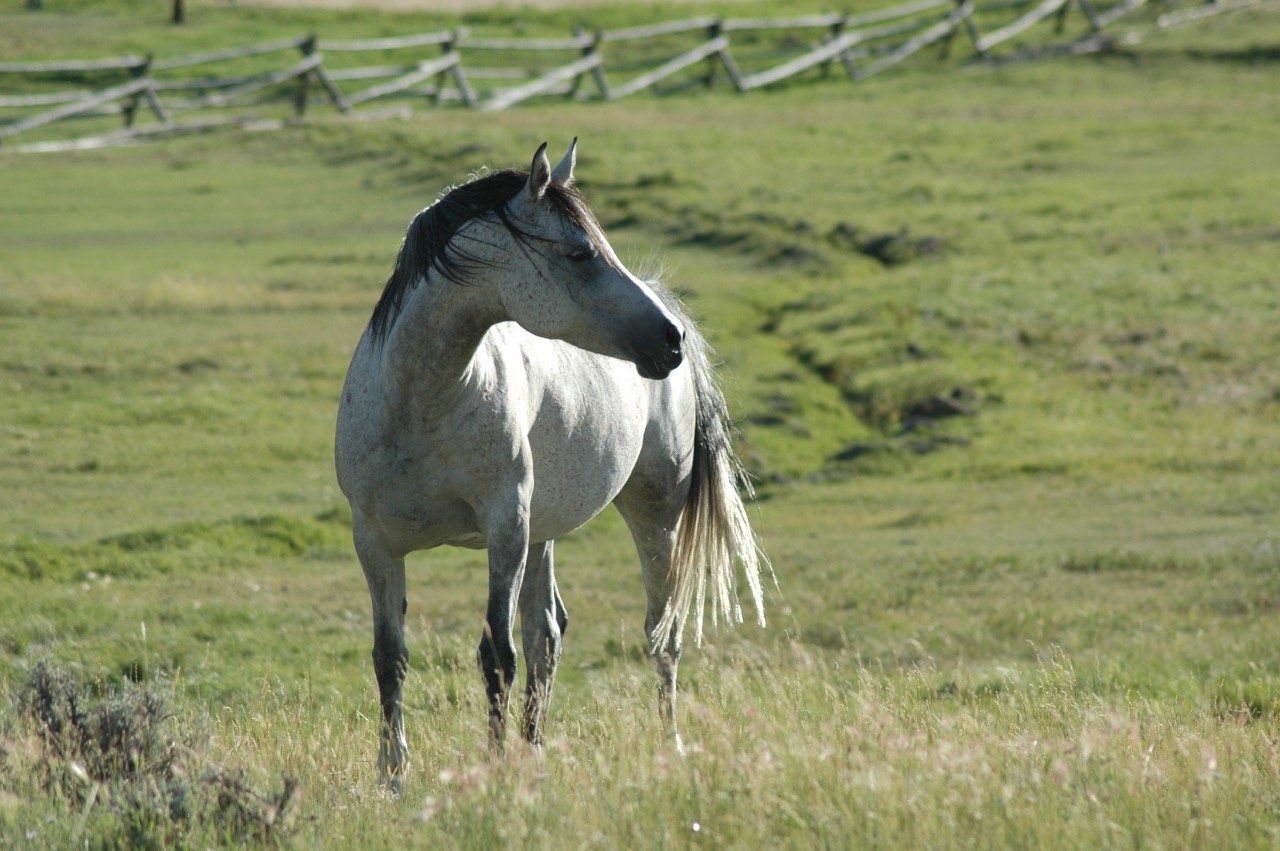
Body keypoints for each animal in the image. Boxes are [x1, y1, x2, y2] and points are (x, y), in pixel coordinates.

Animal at [335, 136, 762, 793]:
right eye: (580, 253)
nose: (671, 340)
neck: (420, 403)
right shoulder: (375, 541)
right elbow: (391, 657)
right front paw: (392, 778)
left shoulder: (504, 527)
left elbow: (495, 655)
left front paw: (493, 771)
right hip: (543, 530)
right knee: (547, 632)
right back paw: (534, 751)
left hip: (652, 512)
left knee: (658, 635)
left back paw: (669, 747)